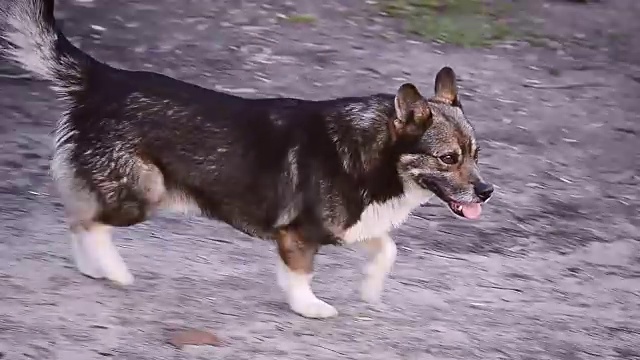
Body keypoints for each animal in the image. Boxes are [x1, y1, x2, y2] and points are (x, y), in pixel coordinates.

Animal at [0, 0, 492, 318]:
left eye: (476, 154)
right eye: (448, 158)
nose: (487, 191)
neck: (374, 154)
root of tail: (102, 79)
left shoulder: (348, 226)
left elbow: (386, 249)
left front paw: (369, 290)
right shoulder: (299, 235)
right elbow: (300, 275)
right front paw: (309, 307)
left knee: (78, 217)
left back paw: (93, 268)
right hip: (144, 192)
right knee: (90, 222)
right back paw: (115, 271)